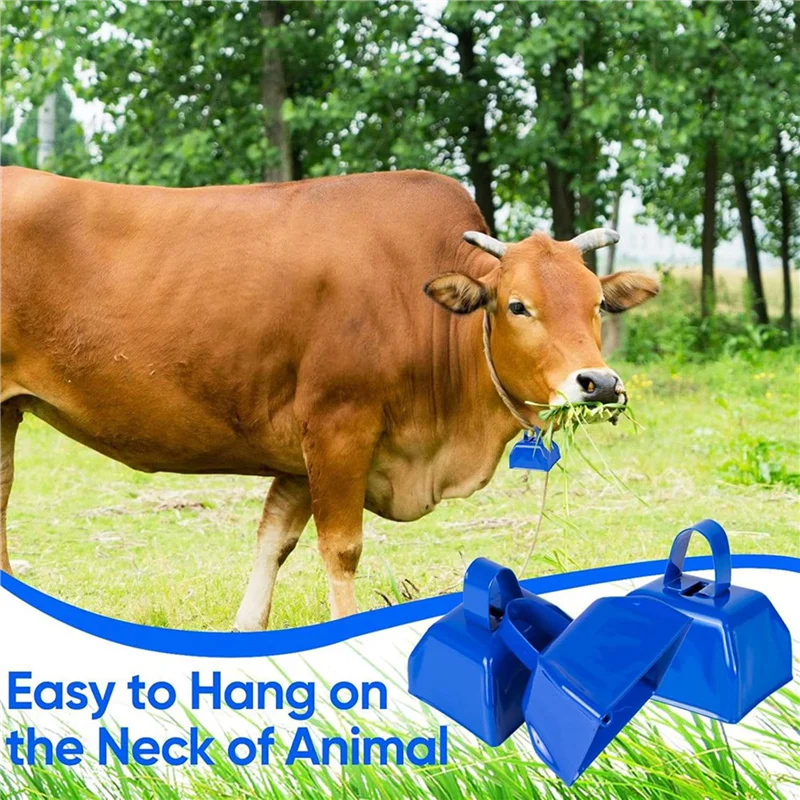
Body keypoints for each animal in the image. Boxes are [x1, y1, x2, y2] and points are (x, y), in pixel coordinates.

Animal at [0, 166, 658, 630]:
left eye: (597, 304)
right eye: (519, 305)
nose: (599, 383)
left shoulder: (299, 454)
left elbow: (274, 540)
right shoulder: (338, 427)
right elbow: (340, 549)